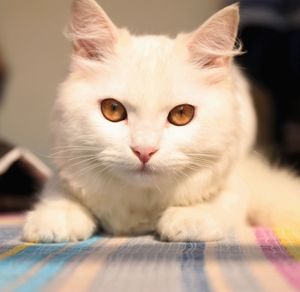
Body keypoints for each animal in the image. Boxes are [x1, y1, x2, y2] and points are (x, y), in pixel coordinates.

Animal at [22, 0, 300, 242]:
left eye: (181, 114)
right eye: (113, 109)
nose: (144, 151)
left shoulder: (234, 180)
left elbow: (222, 204)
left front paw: (188, 219)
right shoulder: (63, 170)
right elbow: (59, 195)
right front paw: (54, 220)